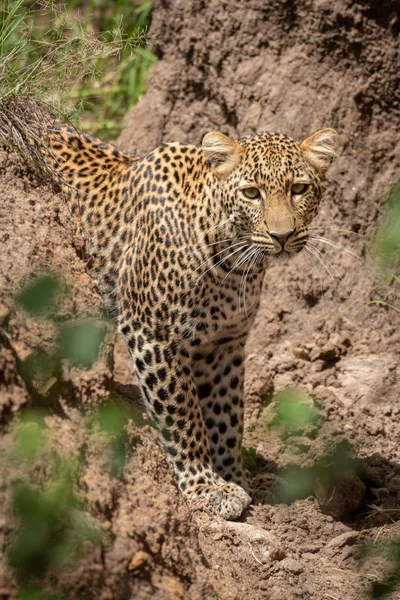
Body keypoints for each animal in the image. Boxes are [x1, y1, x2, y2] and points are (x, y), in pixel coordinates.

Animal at [0, 98, 340, 520]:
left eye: (299, 189)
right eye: (251, 193)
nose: (282, 235)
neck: (233, 263)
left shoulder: (224, 343)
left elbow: (227, 415)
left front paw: (236, 476)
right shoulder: (153, 334)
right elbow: (183, 414)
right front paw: (205, 485)